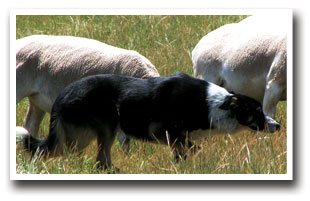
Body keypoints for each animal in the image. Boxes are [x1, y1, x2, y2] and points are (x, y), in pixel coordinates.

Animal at [20, 72, 280, 170]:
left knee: (94, 159)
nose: (277, 126)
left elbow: (184, 151)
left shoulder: (175, 137)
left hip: (86, 135)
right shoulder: (160, 130)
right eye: (257, 110)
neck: (211, 105)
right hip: (105, 126)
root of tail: (62, 96)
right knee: (94, 159)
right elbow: (191, 146)